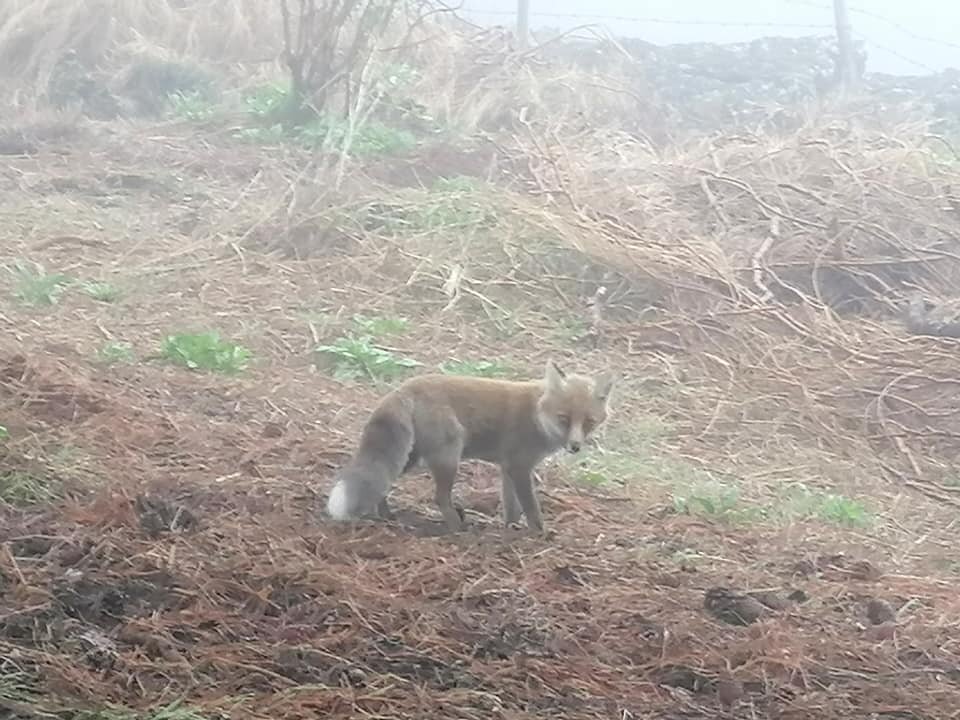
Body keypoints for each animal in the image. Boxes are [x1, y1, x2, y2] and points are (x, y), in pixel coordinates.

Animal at [325, 359, 615, 533]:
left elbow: (512, 507)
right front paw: (539, 535)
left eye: (589, 422)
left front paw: (510, 530)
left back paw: (385, 515)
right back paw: (458, 528)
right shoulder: (520, 467)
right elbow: (531, 508)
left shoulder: (508, 468)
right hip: (448, 457)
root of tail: (403, 388)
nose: (575, 446)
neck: (536, 416)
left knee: (384, 483)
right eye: (563, 419)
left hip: (412, 457)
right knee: (440, 498)